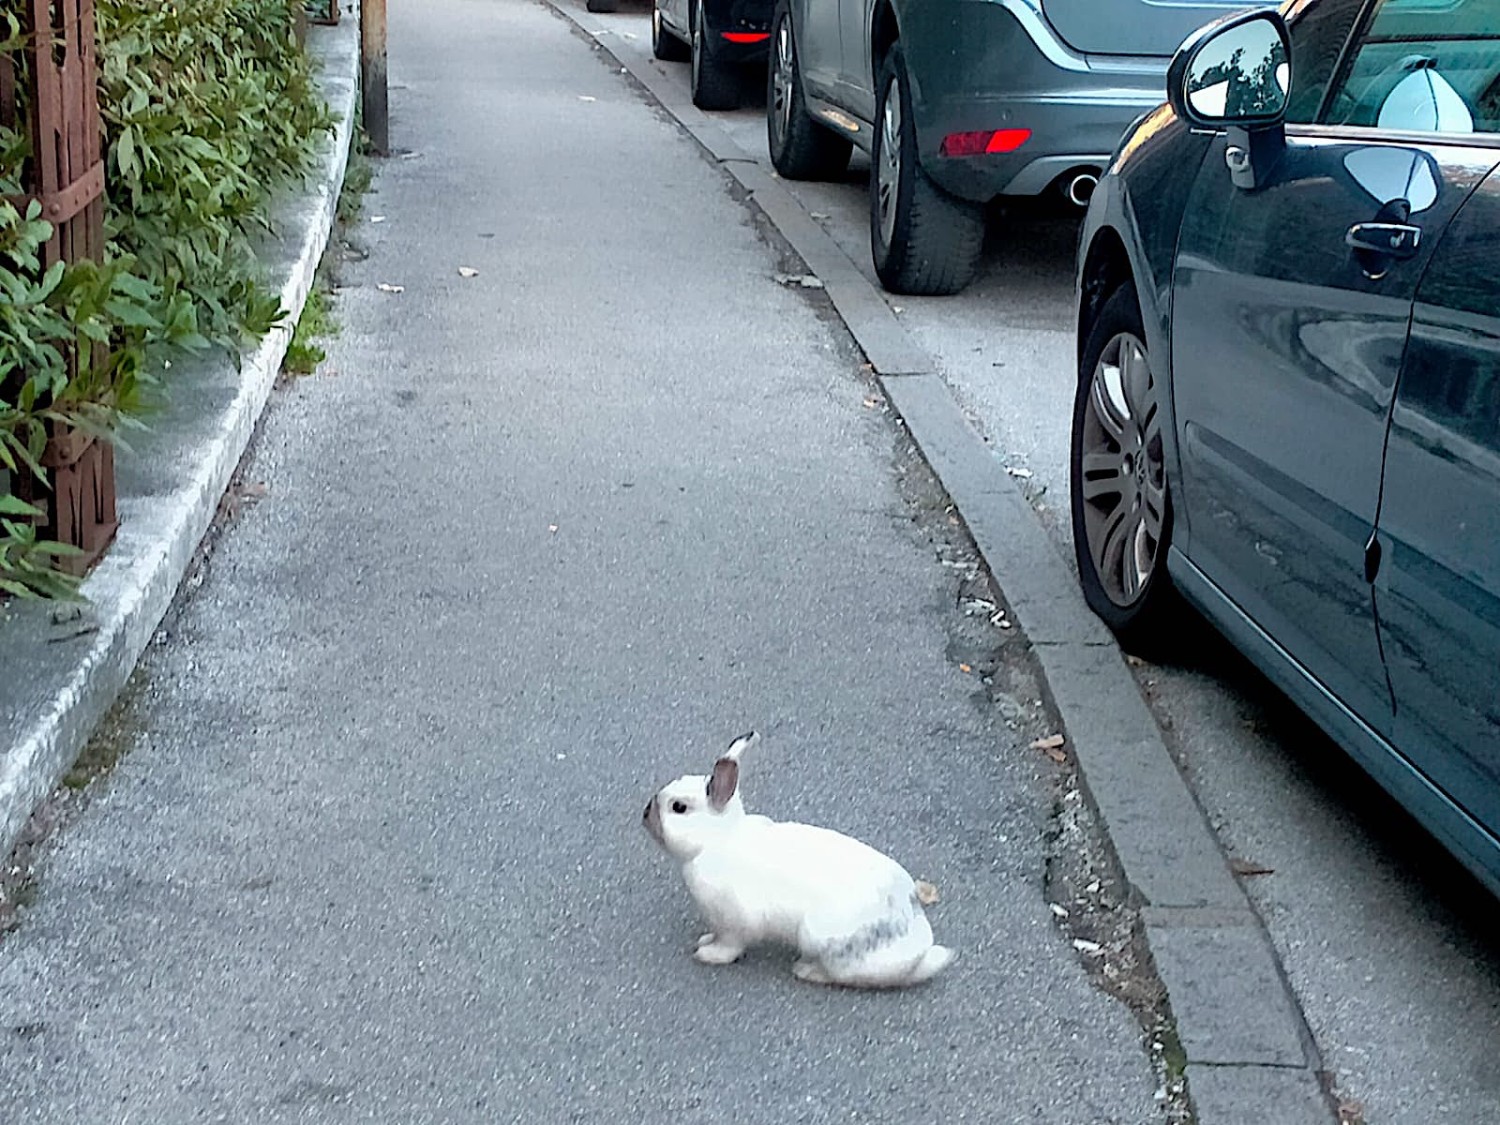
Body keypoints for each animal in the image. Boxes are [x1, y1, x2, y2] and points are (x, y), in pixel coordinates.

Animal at [642, 731, 953, 989]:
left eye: (678, 807)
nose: (645, 814)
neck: (717, 839)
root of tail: (919, 954)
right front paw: (705, 940)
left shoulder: (736, 923)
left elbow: (730, 946)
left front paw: (707, 954)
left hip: (819, 938)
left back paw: (806, 970)